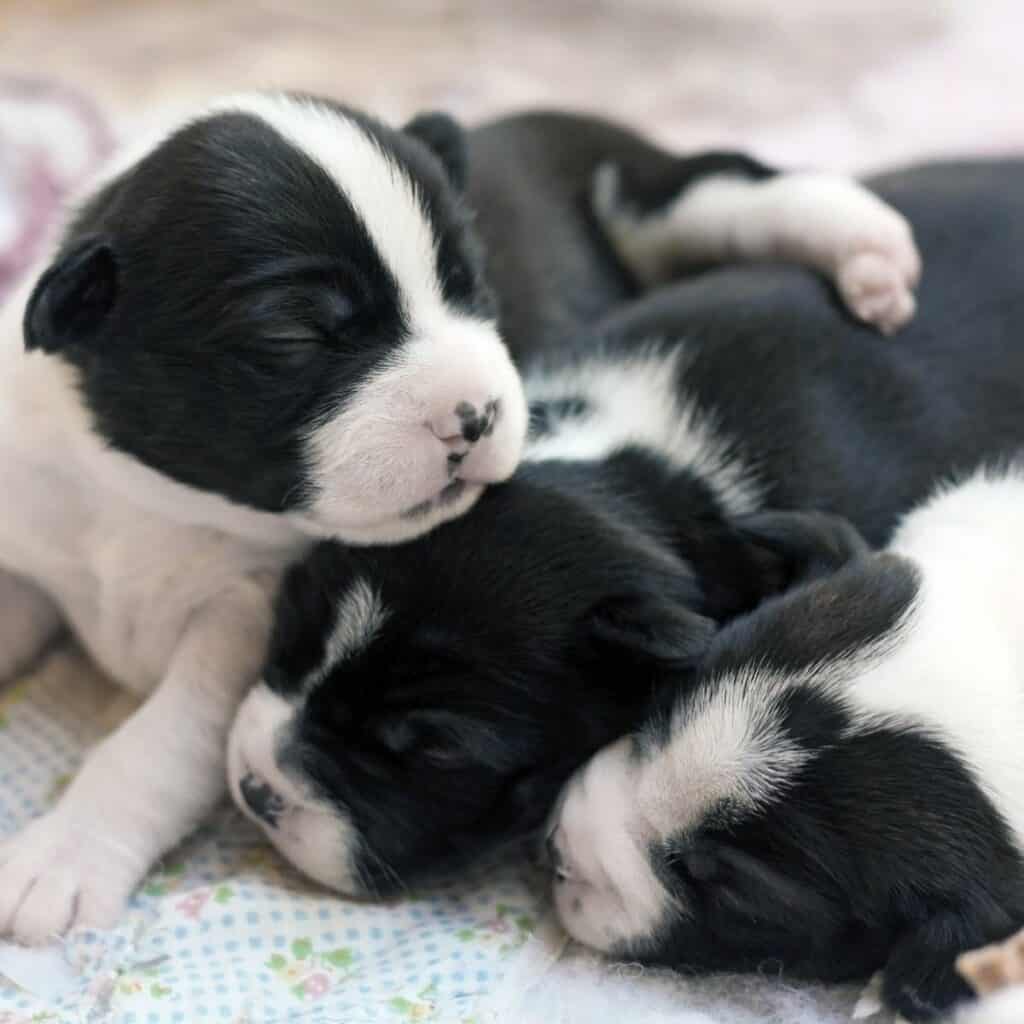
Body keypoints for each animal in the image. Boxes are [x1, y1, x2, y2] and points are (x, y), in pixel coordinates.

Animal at [0, 96, 921, 942]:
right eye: (295, 336)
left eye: (473, 289)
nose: (474, 415)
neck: (145, 494)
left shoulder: (236, 623)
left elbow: (157, 742)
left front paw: (65, 856)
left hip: (645, 194)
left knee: (729, 192)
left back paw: (868, 251)